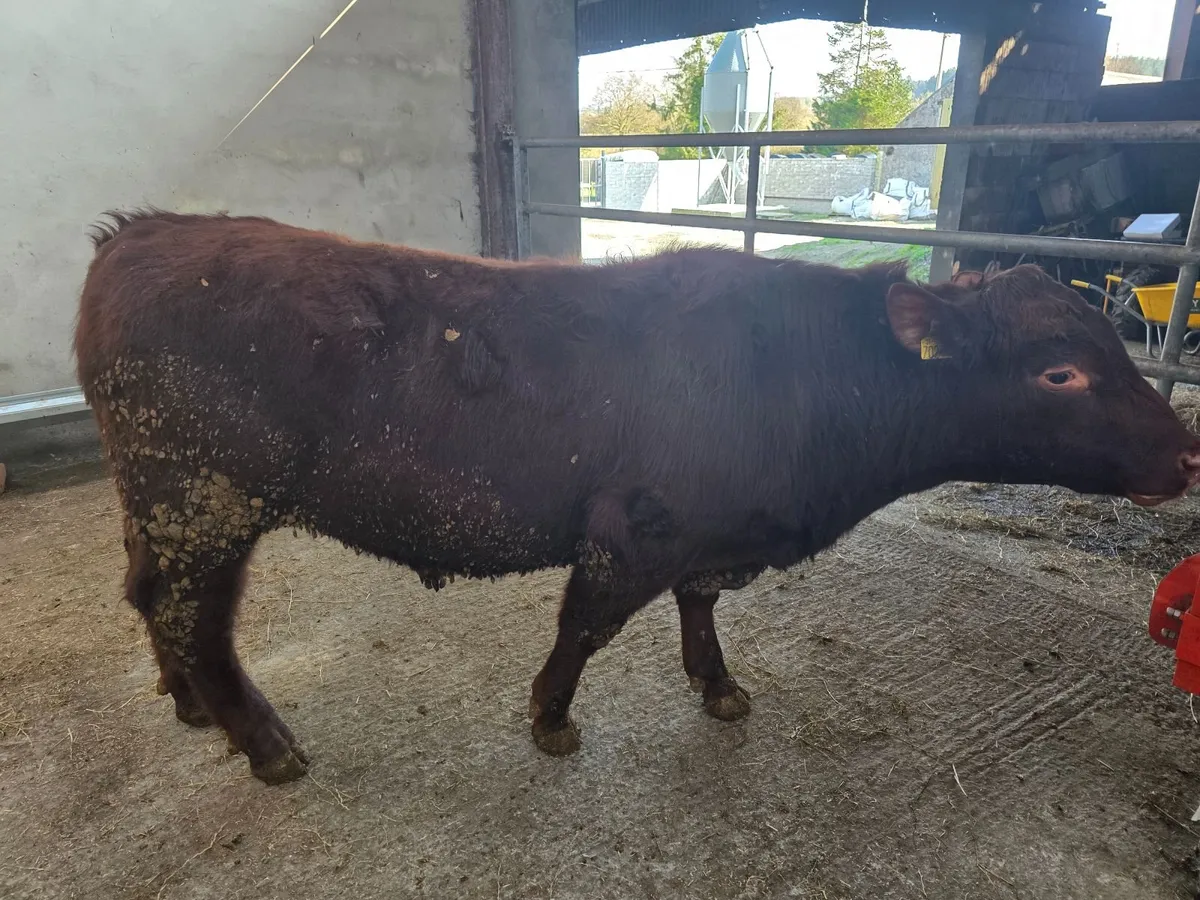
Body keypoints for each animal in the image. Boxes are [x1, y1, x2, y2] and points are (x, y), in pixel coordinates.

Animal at [75, 210, 1200, 785]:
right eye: (1061, 371)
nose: (1188, 454)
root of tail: (141, 232)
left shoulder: (709, 534)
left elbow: (697, 608)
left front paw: (719, 685)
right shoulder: (633, 527)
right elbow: (586, 625)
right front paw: (551, 717)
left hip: (161, 500)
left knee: (146, 594)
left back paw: (188, 706)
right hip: (208, 498)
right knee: (196, 614)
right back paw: (263, 742)